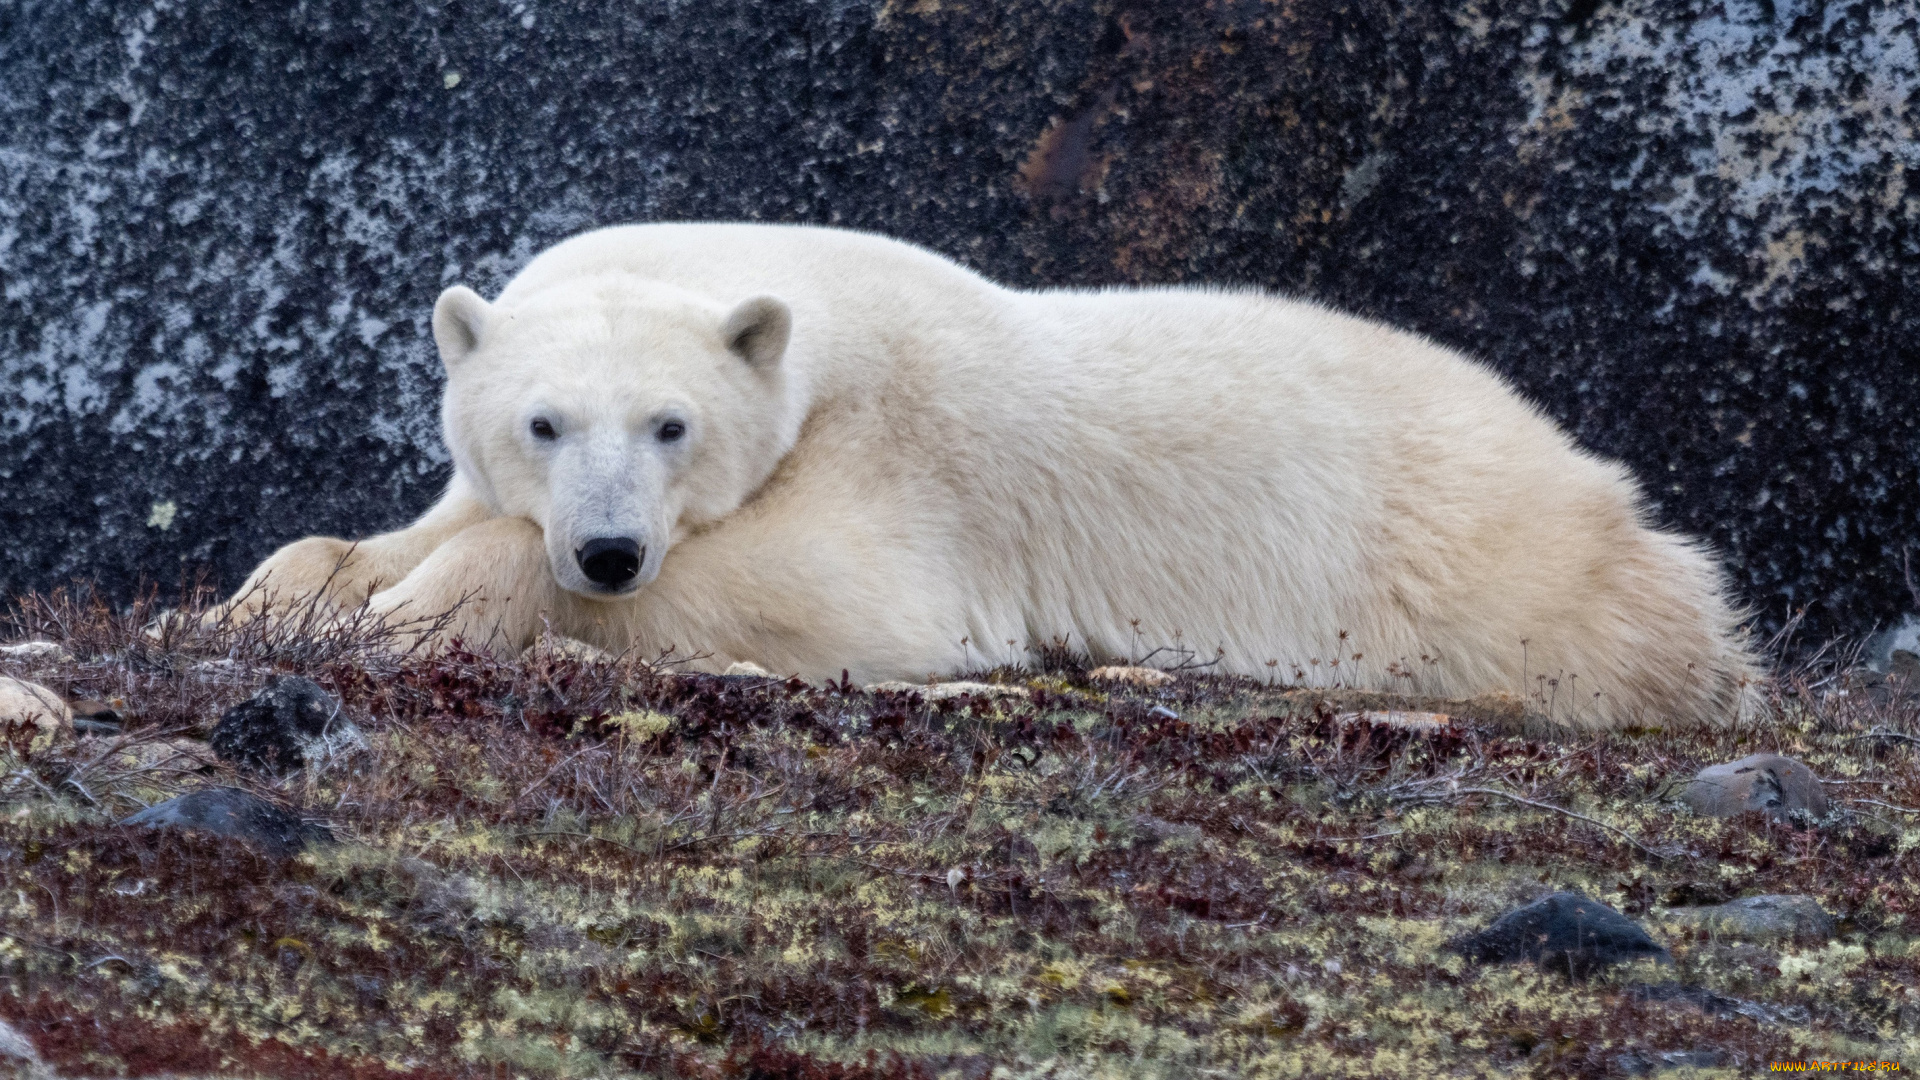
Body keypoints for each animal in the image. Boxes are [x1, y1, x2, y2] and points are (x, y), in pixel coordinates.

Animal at [224, 222, 1758, 726]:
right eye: (541, 423)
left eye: (671, 426)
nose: (607, 550)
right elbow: (374, 535)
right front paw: (271, 598)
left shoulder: (901, 456)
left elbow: (839, 595)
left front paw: (426, 608)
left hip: (1484, 566)